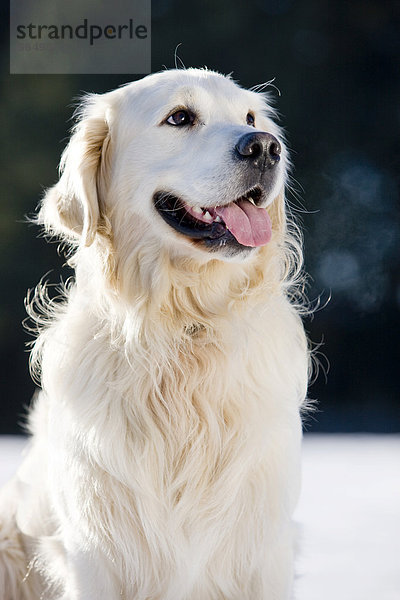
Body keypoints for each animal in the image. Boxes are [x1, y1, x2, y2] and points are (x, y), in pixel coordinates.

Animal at [0, 69, 310, 600]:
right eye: (180, 117)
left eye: (250, 118)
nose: (266, 148)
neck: (183, 329)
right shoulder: (95, 549)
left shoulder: (262, 548)